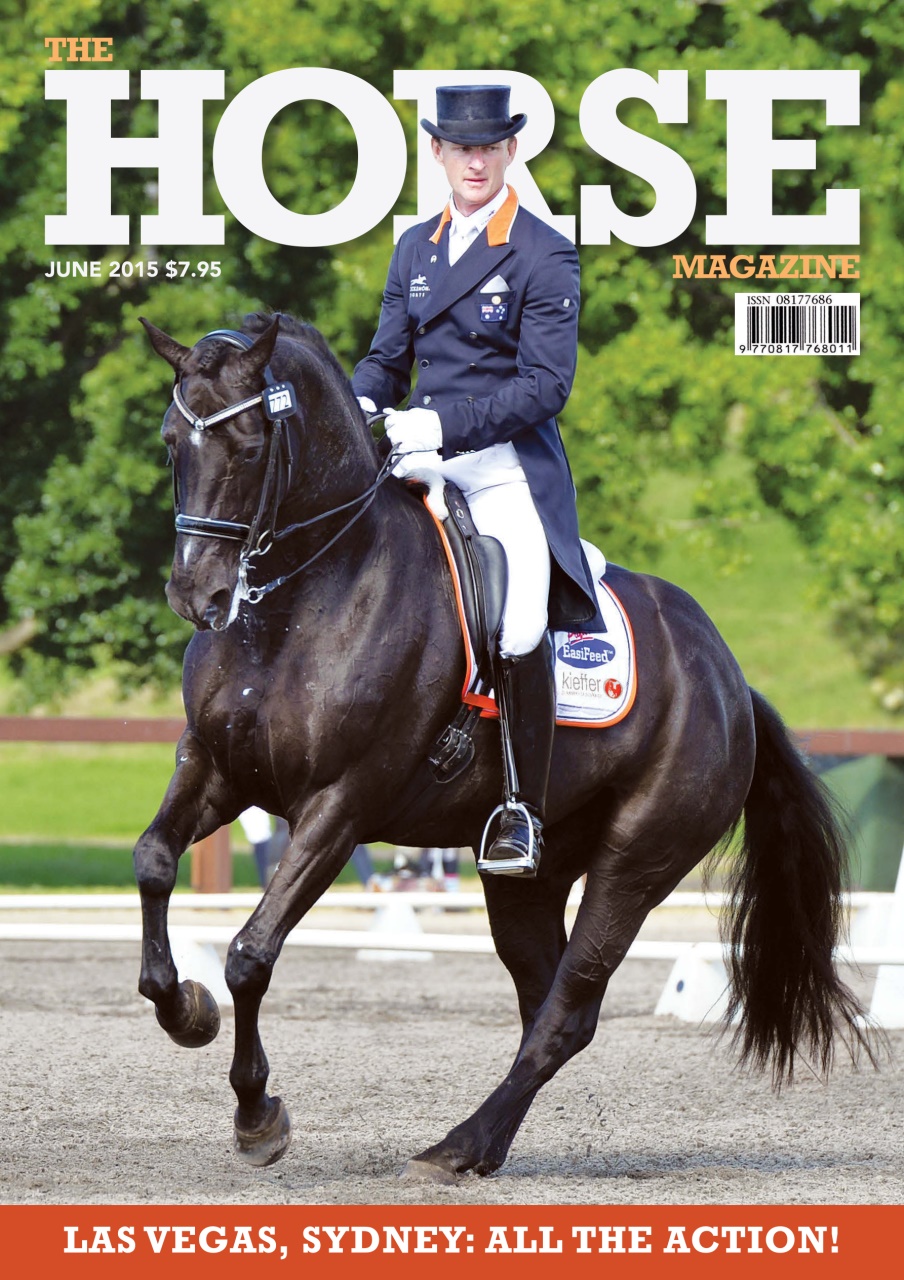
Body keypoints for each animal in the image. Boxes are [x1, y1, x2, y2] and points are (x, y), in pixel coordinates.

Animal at [135, 311, 873, 1180]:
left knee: (567, 1008)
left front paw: (258, 1117)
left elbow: (251, 953)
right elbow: (153, 861)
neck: (302, 600)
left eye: (251, 444)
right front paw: (184, 1009)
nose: (198, 595)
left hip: (637, 861)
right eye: (171, 441)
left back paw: (457, 1146)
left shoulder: (340, 804)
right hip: (529, 877)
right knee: (546, 1004)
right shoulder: (216, 767)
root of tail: (729, 679)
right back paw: (479, 1147)